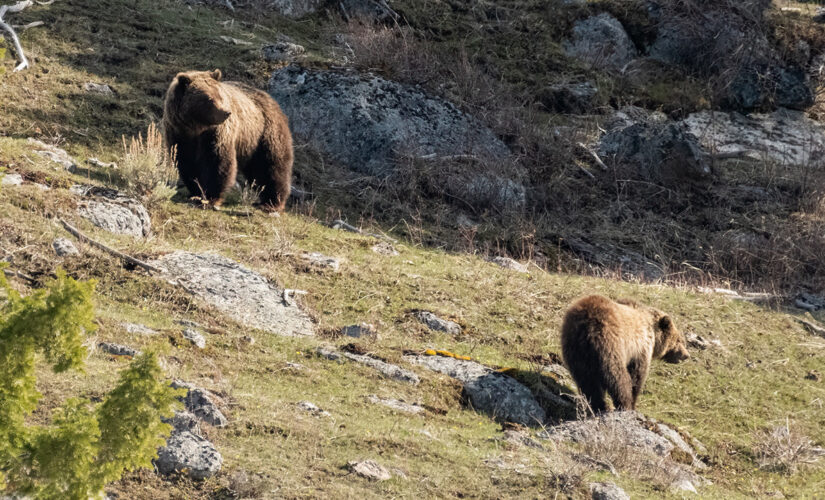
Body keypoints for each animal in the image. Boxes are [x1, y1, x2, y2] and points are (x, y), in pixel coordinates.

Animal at [162, 69, 292, 210]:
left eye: (220, 96)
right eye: (209, 98)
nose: (226, 112)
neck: (196, 128)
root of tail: (271, 99)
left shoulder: (216, 134)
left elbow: (217, 162)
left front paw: (210, 198)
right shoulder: (179, 134)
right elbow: (186, 162)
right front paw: (196, 193)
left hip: (264, 132)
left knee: (271, 166)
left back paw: (271, 203)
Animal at [560, 292, 688, 414]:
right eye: (679, 340)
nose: (686, 355)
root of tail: (586, 325)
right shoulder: (640, 349)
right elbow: (637, 376)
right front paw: (633, 401)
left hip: (575, 350)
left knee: (587, 381)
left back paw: (599, 407)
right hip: (609, 343)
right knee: (616, 376)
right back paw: (624, 404)